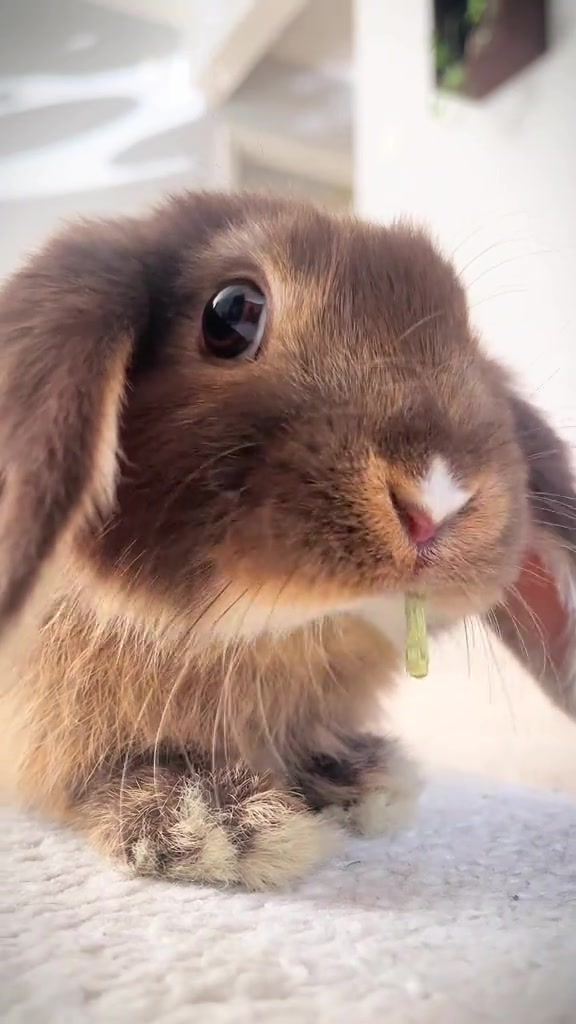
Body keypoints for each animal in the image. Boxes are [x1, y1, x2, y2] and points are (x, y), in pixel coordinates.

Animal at [0, 190, 575, 891]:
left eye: (467, 332)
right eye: (231, 313)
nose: (437, 501)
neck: (276, 633)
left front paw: (358, 777)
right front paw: (217, 821)